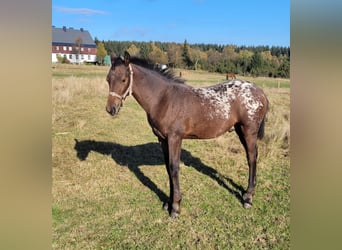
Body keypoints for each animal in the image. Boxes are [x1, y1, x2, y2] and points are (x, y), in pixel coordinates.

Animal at [105, 51, 268, 218]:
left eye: (124, 79)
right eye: (108, 79)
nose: (111, 109)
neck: (163, 99)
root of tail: (259, 91)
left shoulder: (175, 138)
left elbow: (174, 168)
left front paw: (175, 207)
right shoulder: (163, 139)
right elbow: (168, 168)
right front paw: (168, 202)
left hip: (249, 131)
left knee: (252, 158)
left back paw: (248, 198)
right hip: (240, 130)